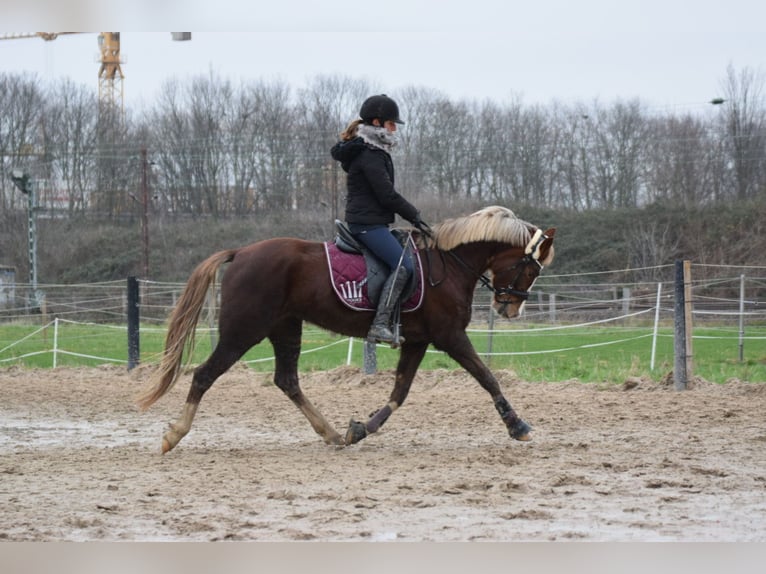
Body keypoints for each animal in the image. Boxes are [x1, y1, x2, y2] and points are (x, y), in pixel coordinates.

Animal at [138, 207, 556, 454]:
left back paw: (331, 434)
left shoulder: (418, 341)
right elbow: (487, 377)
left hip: (285, 328)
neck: (449, 264)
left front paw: (360, 429)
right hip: (243, 331)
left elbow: (400, 393)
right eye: (530, 267)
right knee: (204, 375)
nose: (510, 308)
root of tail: (241, 252)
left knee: (287, 380)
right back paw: (173, 435)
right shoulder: (449, 336)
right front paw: (518, 425)